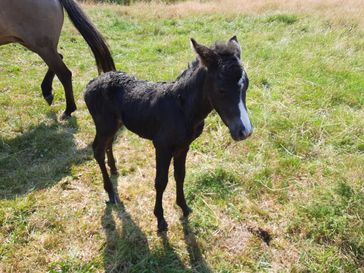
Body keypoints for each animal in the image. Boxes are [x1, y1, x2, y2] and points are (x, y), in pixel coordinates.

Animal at [84, 36, 252, 231]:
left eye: (246, 86)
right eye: (221, 90)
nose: (245, 131)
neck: (182, 108)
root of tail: (92, 82)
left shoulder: (183, 147)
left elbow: (180, 175)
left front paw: (184, 207)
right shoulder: (161, 147)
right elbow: (161, 182)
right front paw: (160, 219)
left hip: (115, 124)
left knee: (108, 144)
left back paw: (113, 168)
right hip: (104, 124)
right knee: (97, 149)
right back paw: (110, 192)